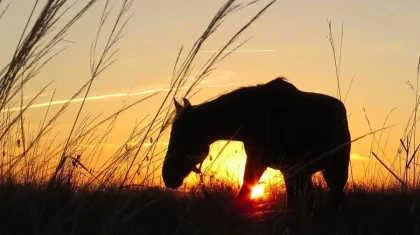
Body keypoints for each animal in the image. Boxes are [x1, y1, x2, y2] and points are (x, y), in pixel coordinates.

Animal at [161, 76, 352, 209]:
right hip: (305, 172)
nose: (168, 176)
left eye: (182, 134)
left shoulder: (261, 163)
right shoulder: (283, 168)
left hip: (334, 169)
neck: (253, 116)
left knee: (336, 198)